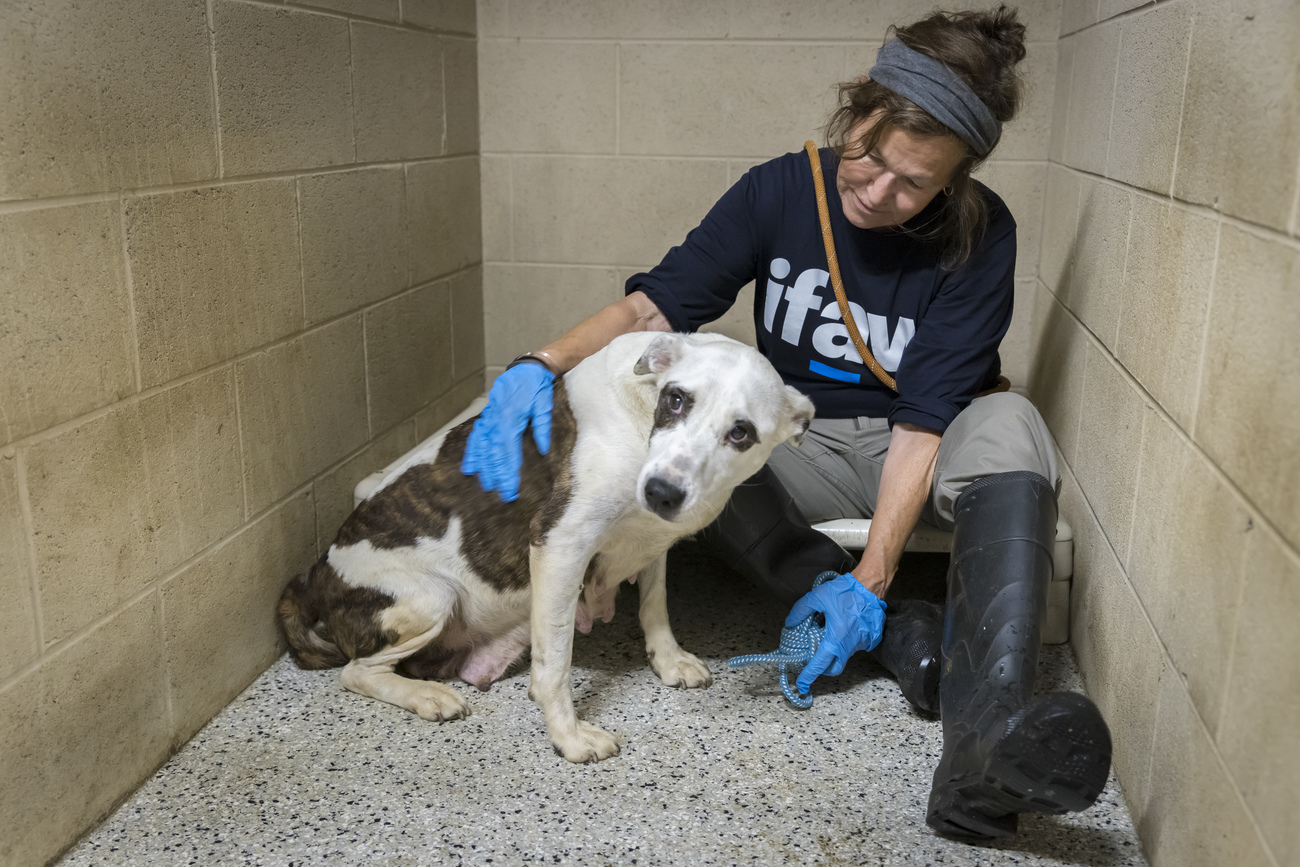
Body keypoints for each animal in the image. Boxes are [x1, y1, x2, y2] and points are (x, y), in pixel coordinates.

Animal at [278, 328, 811, 764]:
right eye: (677, 399)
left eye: (741, 432)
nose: (662, 491)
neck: (641, 423)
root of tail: (314, 575)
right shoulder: (561, 547)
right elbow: (555, 663)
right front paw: (569, 736)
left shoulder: (653, 542)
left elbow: (655, 603)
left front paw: (668, 658)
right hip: (432, 596)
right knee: (356, 672)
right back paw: (427, 696)